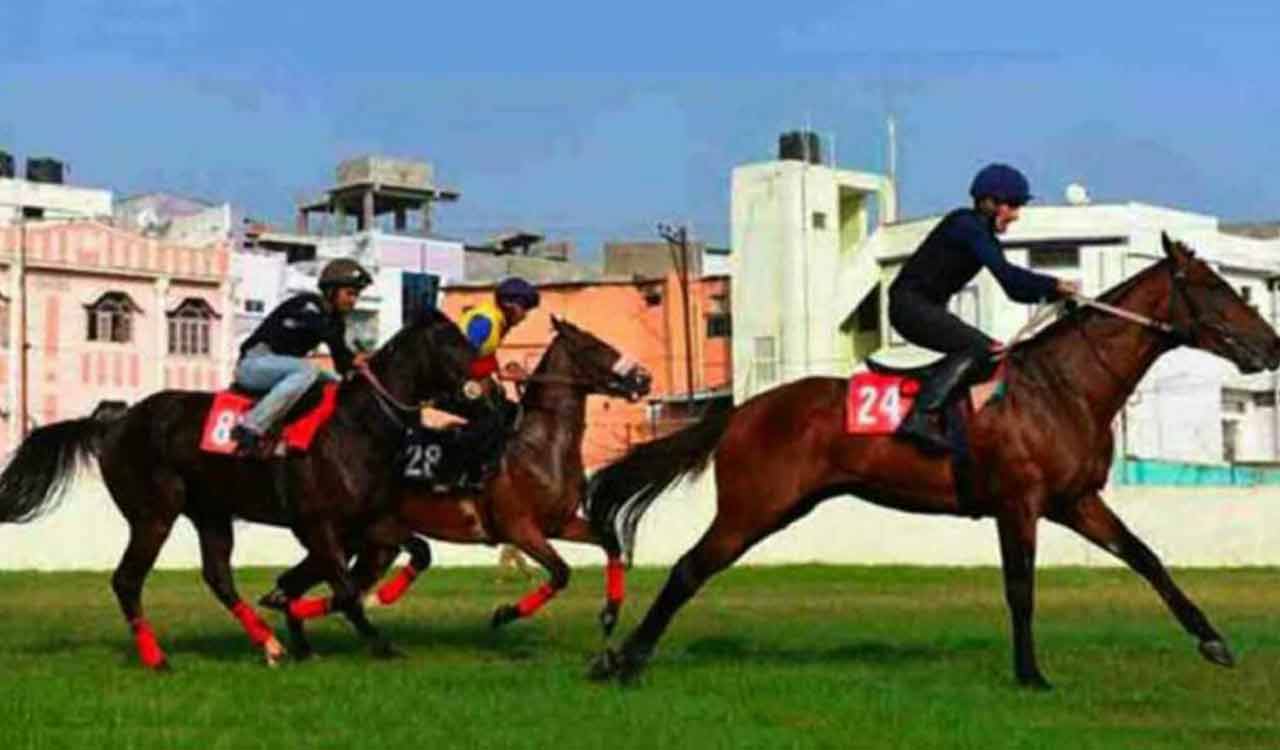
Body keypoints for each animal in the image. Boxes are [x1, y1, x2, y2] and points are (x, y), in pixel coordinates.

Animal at [0, 308, 475, 669]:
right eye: (451, 342)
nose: (482, 383)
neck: (357, 427)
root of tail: (113, 423)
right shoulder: (317, 525)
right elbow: (344, 590)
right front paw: (379, 643)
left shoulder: (369, 522)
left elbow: (416, 553)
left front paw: (304, 617)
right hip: (154, 514)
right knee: (127, 580)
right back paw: (157, 658)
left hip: (210, 514)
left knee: (218, 577)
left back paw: (270, 645)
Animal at [260, 316, 653, 658]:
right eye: (593, 346)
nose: (643, 378)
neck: (539, 446)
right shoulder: (521, 529)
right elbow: (560, 573)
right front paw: (504, 613)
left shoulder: (560, 523)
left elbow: (610, 541)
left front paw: (610, 614)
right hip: (351, 535)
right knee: (321, 587)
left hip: (366, 543)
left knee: (303, 584)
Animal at [584, 233, 1280, 688]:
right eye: (1214, 288)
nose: (1271, 345)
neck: (1064, 385)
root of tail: (744, 410)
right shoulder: (1019, 504)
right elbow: (1021, 589)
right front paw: (1030, 674)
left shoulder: (1075, 501)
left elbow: (1145, 557)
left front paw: (1213, 640)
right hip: (755, 507)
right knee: (687, 570)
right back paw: (622, 661)